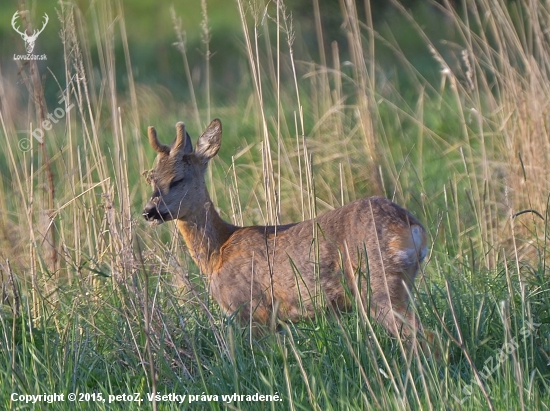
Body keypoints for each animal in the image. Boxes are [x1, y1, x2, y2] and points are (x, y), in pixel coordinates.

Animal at [144, 120, 430, 340]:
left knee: (423, 336)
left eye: (177, 179)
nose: (149, 211)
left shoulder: (252, 310)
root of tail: (410, 226)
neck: (217, 253)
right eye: (151, 178)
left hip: (378, 282)